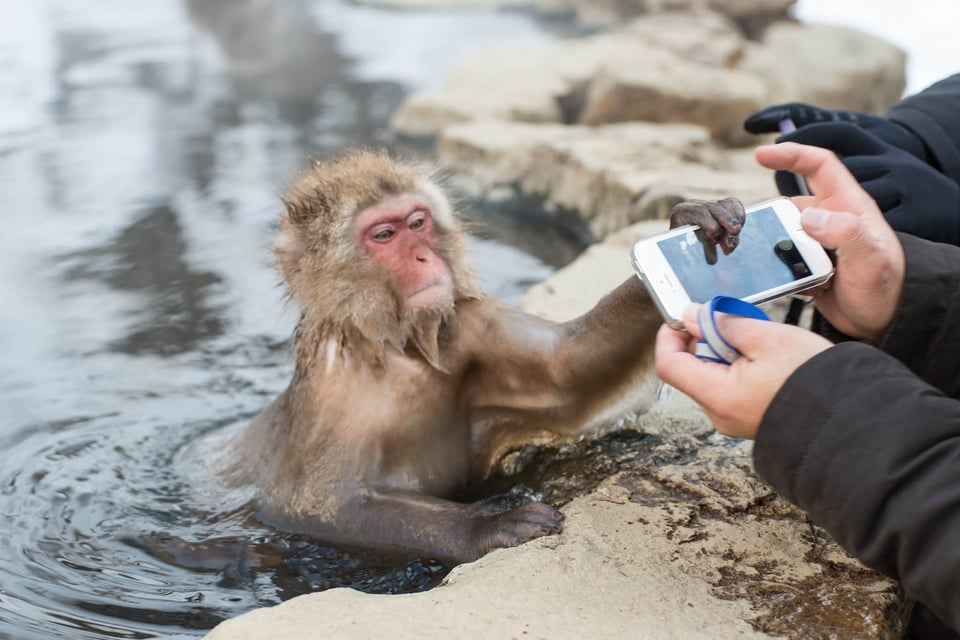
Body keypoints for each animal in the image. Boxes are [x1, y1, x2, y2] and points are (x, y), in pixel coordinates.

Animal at [221, 150, 748, 560]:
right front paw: (488, 526)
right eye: (384, 235)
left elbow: (566, 371)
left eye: (417, 223)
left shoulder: (467, 321)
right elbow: (320, 508)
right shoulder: (333, 392)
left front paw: (686, 231)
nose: (424, 257)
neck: (397, 347)